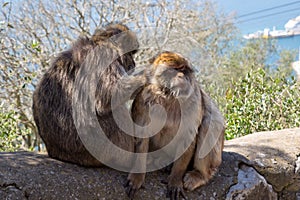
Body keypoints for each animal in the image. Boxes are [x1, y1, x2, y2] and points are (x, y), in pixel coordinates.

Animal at [32, 23, 145, 167]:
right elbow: (109, 95)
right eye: (130, 53)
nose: (134, 63)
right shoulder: (105, 55)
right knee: (116, 110)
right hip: (106, 148)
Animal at [125, 52, 225, 200]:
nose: (182, 76)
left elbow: (187, 137)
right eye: (174, 70)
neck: (168, 95)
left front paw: (175, 180)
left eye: (184, 70)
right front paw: (137, 176)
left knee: (209, 122)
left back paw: (199, 175)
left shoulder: (194, 100)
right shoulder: (143, 99)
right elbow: (141, 136)